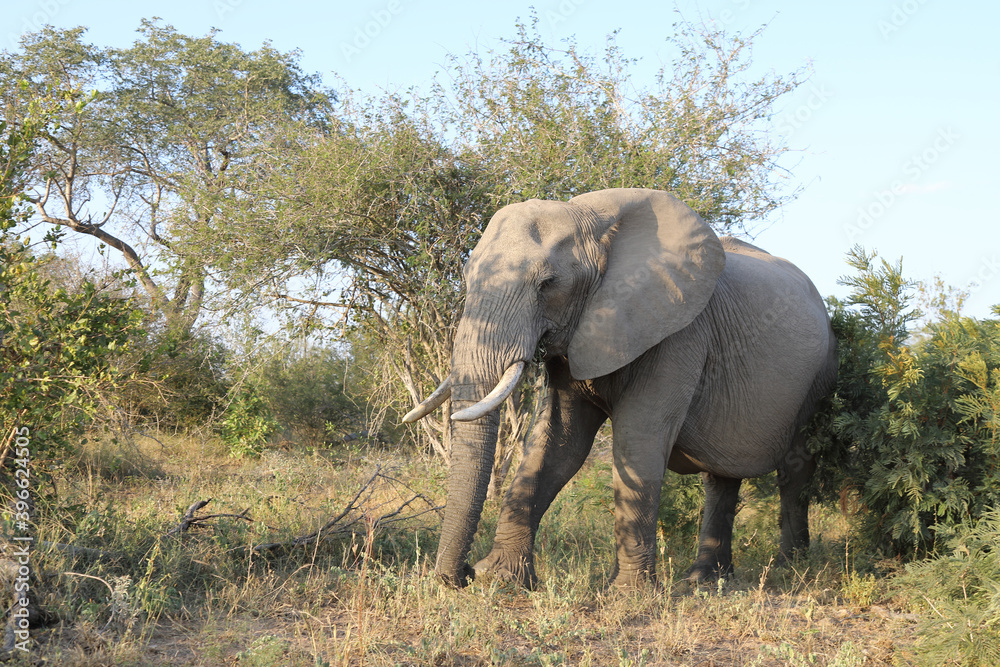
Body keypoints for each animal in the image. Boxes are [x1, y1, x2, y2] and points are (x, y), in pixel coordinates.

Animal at [403, 188, 837, 589]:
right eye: (466, 277)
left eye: (547, 284)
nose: (459, 575)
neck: (594, 218)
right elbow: (557, 444)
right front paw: (500, 580)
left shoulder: (677, 331)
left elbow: (637, 439)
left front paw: (628, 594)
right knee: (721, 477)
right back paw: (704, 581)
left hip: (820, 375)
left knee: (795, 467)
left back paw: (789, 568)